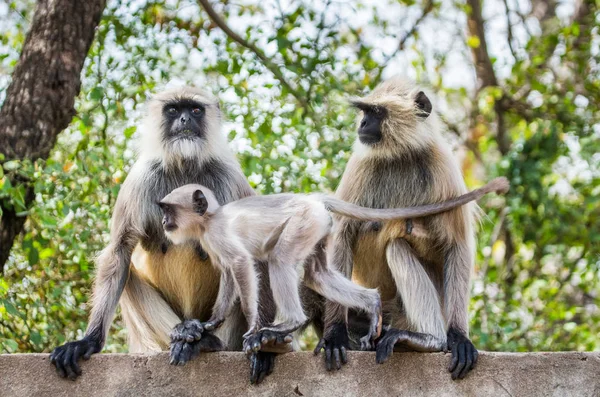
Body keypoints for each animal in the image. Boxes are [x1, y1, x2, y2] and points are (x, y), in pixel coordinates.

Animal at [48, 86, 282, 380]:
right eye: (173, 110)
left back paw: (210, 341)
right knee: (127, 273)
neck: (184, 166)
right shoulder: (141, 178)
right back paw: (188, 334)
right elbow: (119, 249)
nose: (184, 120)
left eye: (195, 109)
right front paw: (87, 341)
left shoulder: (229, 178)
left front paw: (262, 344)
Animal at [159, 176, 506, 356]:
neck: (210, 219)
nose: (162, 222)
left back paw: (289, 323)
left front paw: (253, 330)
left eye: (168, 211)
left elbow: (242, 266)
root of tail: (312, 200)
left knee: (281, 260)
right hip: (318, 228)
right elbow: (230, 277)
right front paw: (208, 324)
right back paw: (372, 304)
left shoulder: (219, 235)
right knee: (317, 274)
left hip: (303, 222)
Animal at [322, 76, 500, 378]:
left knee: (398, 243)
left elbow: (457, 245)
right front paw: (335, 334)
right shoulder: (360, 165)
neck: (400, 155)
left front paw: (459, 337)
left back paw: (429, 340)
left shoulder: (443, 167)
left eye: (377, 112)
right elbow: (342, 234)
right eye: (365, 111)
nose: (363, 124)